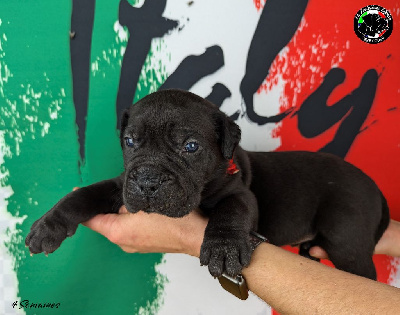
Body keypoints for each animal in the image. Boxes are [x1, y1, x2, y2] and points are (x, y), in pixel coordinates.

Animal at [25, 90, 388, 280]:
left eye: (190, 147)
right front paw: (48, 225)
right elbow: (86, 194)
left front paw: (222, 249)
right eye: (129, 141)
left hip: (347, 241)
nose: (147, 181)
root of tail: (376, 189)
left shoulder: (240, 193)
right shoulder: (121, 185)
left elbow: (231, 211)